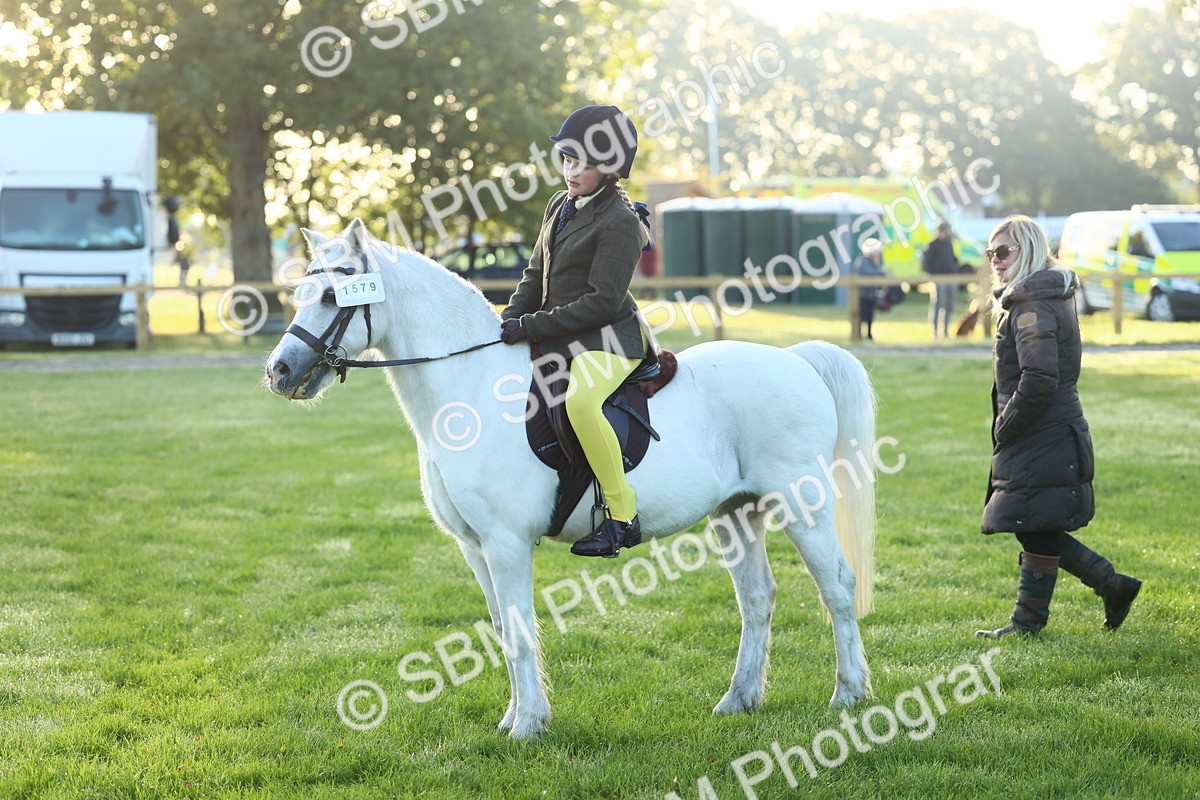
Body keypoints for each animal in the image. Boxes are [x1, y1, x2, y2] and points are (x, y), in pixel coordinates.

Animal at [265, 219, 878, 740]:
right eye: (300, 296)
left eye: (331, 297)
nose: (280, 371)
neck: (468, 388)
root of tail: (796, 360)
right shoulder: (475, 548)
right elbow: (501, 630)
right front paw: (513, 719)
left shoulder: (506, 544)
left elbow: (518, 632)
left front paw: (528, 727)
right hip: (738, 512)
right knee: (756, 597)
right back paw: (739, 699)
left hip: (802, 503)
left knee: (837, 586)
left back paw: (849, 694)